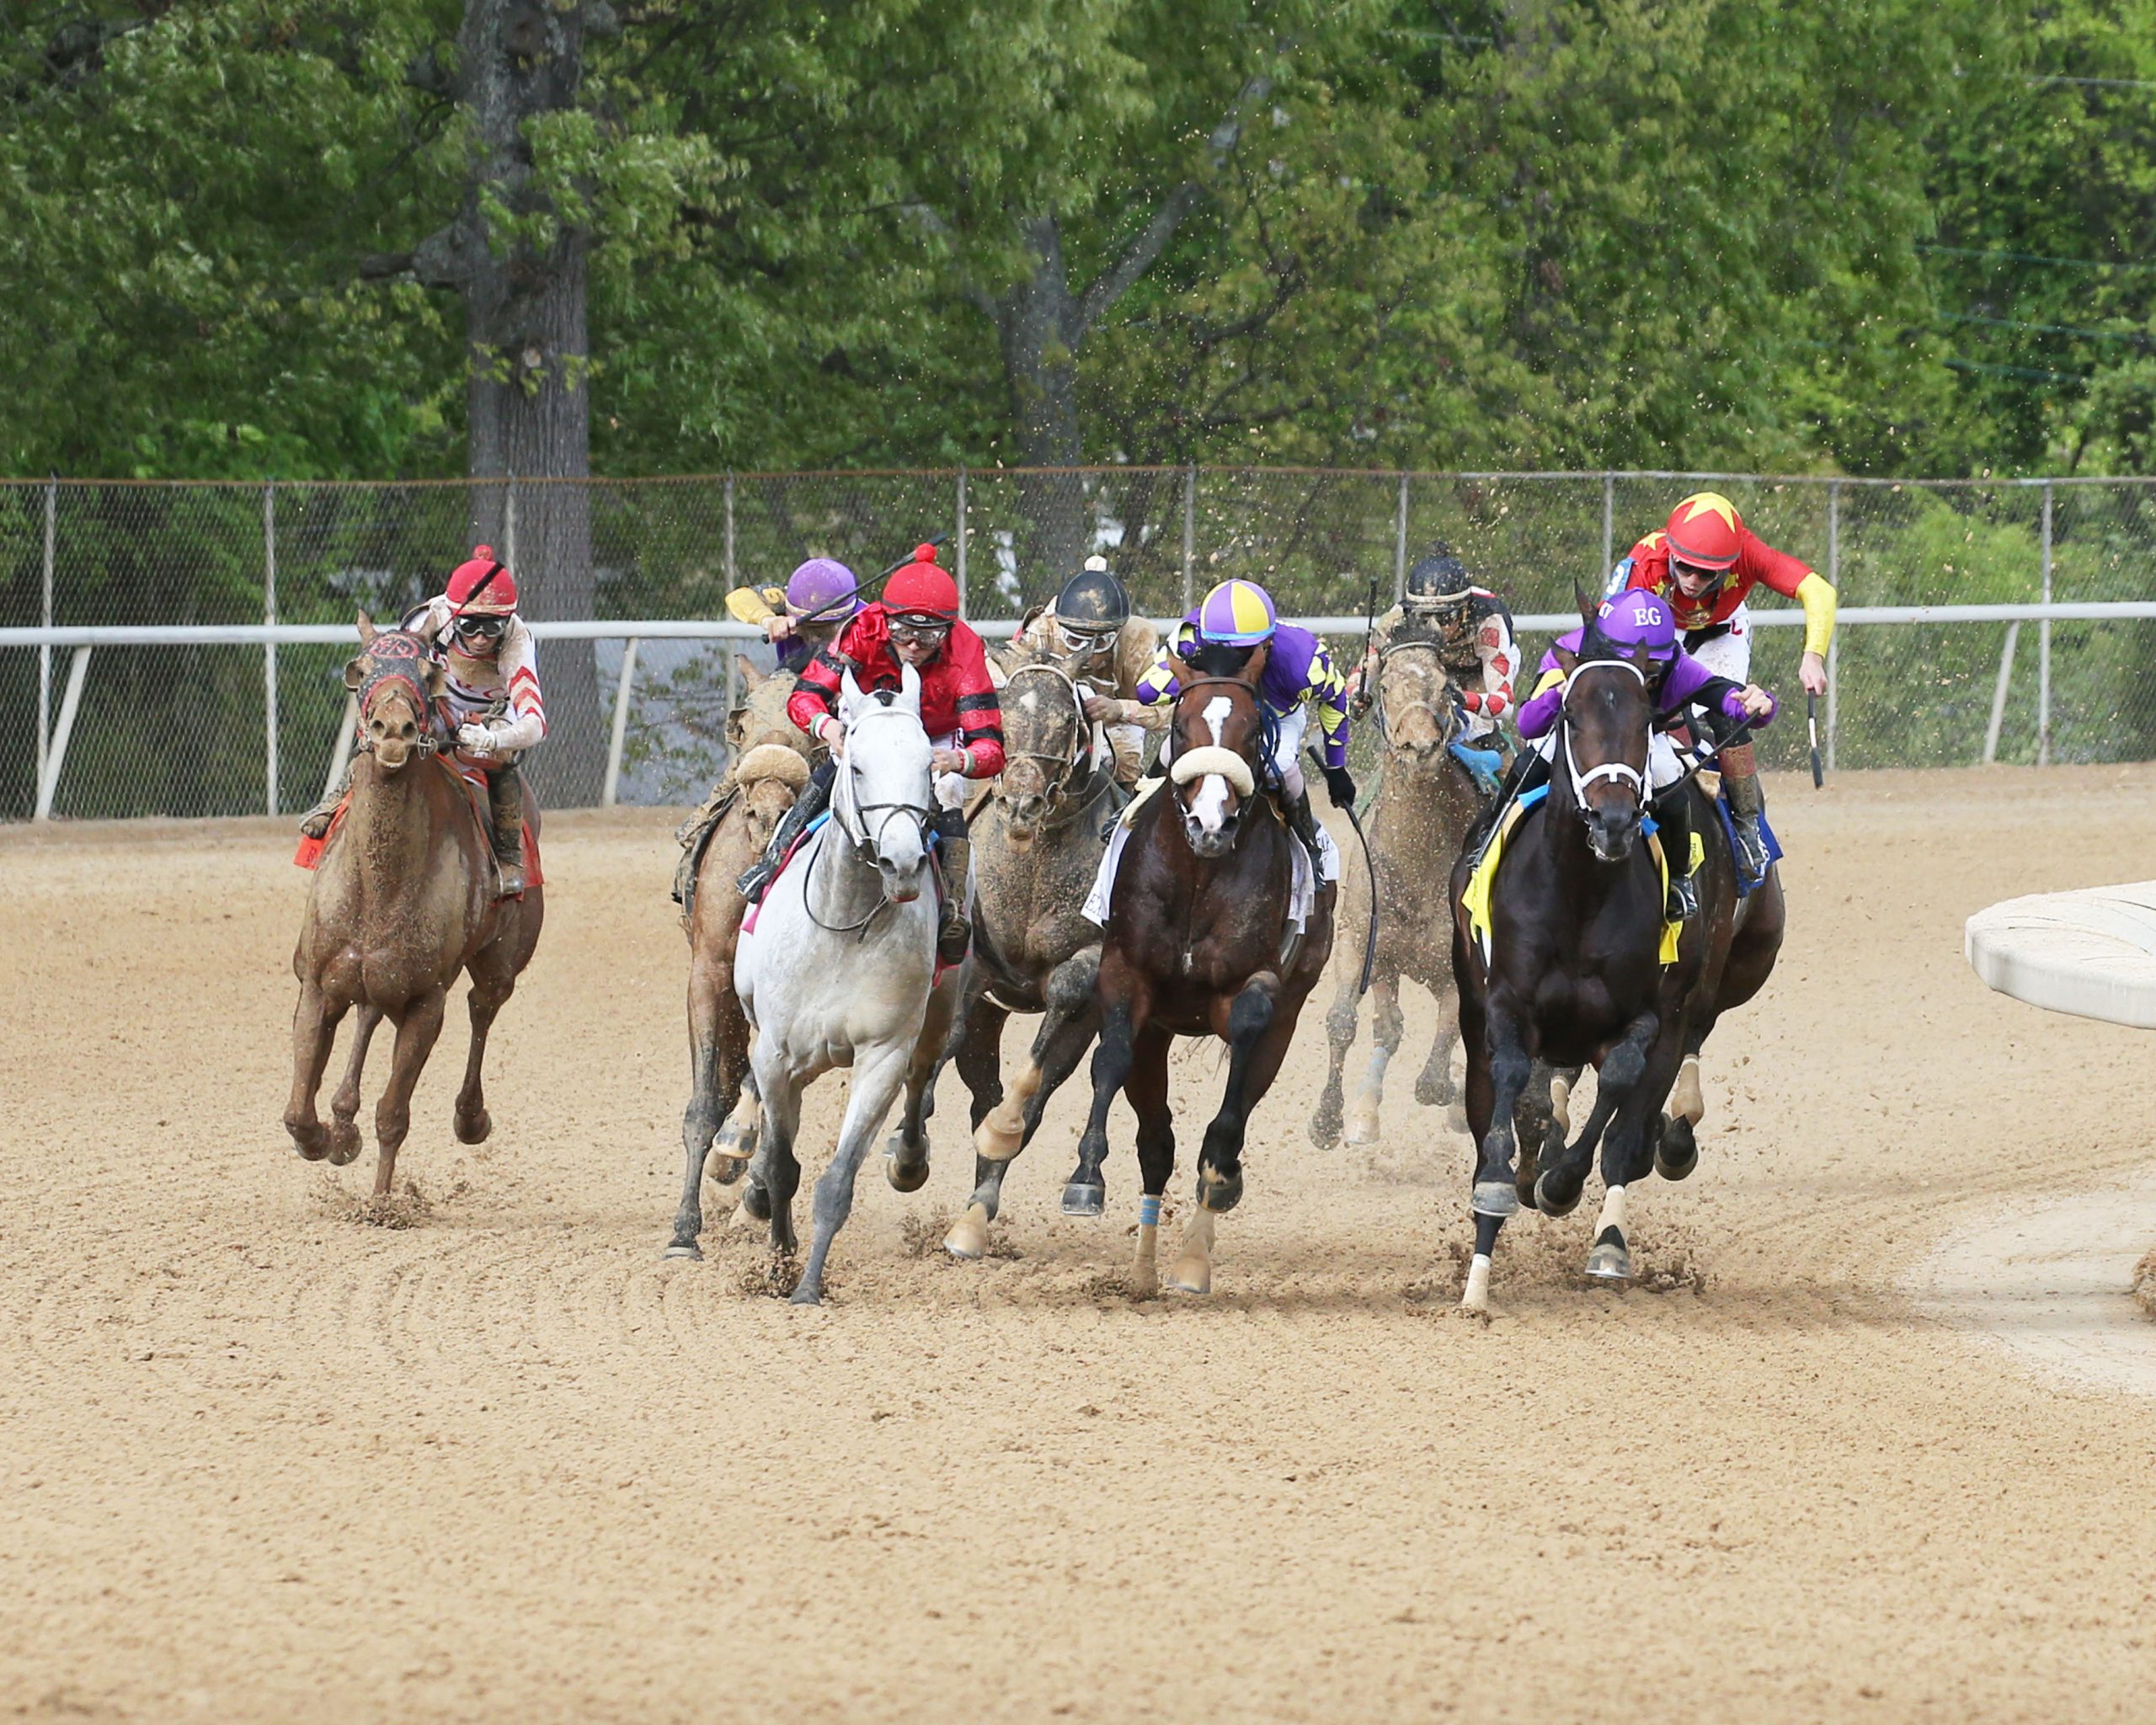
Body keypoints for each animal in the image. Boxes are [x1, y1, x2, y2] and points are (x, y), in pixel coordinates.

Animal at [284, 617, 547, 1199]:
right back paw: (343, 1119)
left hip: (502, 963)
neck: (379, 887)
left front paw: (382, 1203)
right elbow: (297, 1111)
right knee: (367, 1014)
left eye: (427, 673)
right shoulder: (317, 983)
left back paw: (470, 1117)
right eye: (360, 670)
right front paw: (326, 1139)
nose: (393, 731)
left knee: (482, 1007)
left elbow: (394, 1115)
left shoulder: (427, 1001)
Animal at [733, 668, 961, 1302]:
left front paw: (807, 1285)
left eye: (926, 767)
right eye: (855, 765)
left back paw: (908, 1159)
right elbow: (782, 1165)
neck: (842, 923)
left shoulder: (881, 1053)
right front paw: (777, 1263)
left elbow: (837, 1180)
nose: (903, 863)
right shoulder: (776, 1050)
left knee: (921, 1079)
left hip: (937, 1014)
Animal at [1060, 647, 1327, 1294]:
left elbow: (1244, 1049)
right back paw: (1143, 1270)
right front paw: (1085, 1176)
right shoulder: (1127, 977)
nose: (1211, 825)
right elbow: (1109, 1058)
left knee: (1238, 1103)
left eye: (1254, 731)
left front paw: (1223, 1177)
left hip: (1290, 1012)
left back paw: (1193, 1254)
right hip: (1157, 1034)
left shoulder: (1254, 987)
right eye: (1181, 728)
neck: (1199, 875)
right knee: (1156, 1143)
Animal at [1440, 625, 1776, 1311]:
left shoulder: (1650, 1015)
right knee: (1501, 1106)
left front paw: (1579, 1204)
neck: (1580, 894)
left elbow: (1621, 1093)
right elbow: (1508, 1092)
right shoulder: (1505, 1004)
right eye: (1570, 714)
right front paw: (1483, 1260)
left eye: (1647, 716)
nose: (1615, 821)